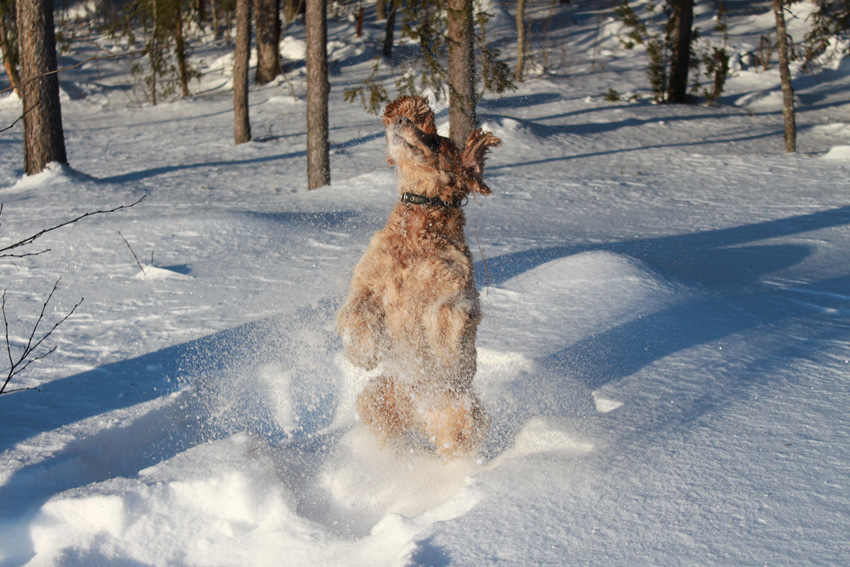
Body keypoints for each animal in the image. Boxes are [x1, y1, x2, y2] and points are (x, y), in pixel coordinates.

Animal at [336, 95, 500, 460]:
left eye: (436, 141)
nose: (400, 121)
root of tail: (422, 414)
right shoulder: (367, 283)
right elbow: (355, 313)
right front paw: (363, 354)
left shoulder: (455, 289)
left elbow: (446, 315)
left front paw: (445, 354)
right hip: (376, 398)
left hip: (468, 417)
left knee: (457, 444)